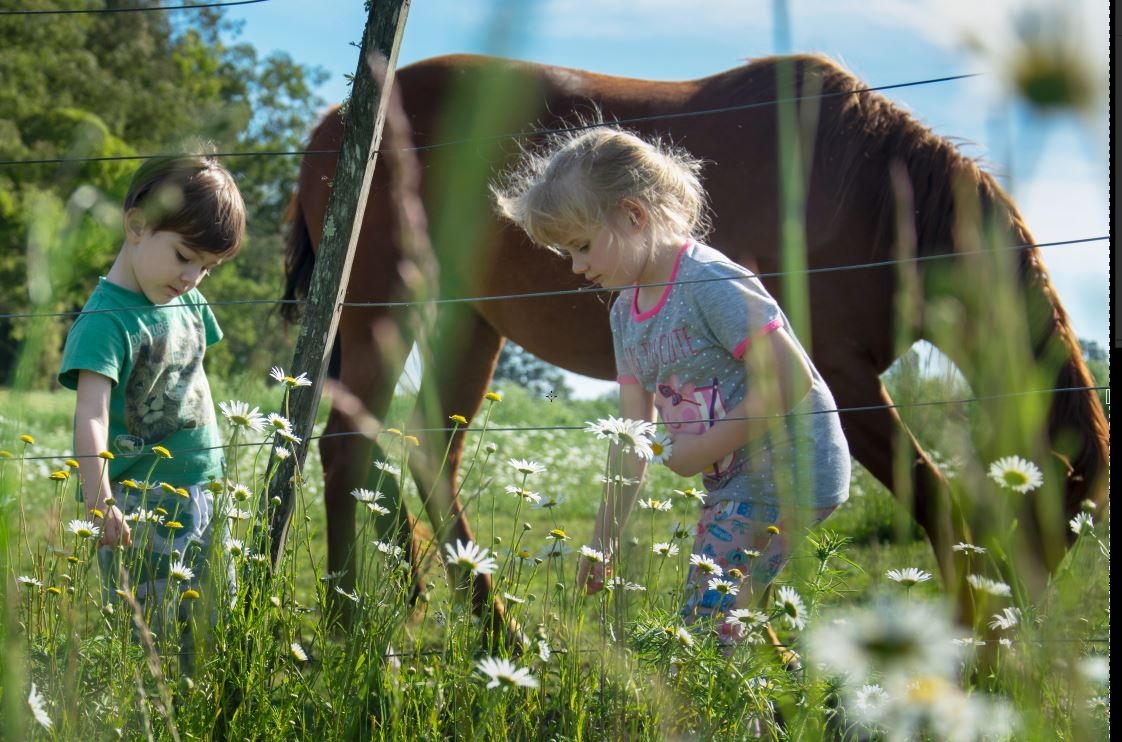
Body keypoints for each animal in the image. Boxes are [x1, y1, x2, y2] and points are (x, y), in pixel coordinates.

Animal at [280, 55, 1104, 628]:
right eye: (1057, 510)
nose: (1023, 621)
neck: (872, 193)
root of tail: (330, 128)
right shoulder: (842, 374)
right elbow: (935, 499)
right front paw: (971, 637)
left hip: (467, 322)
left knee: (424, 455)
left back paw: (472, 622)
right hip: (384, 310)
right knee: (351, 449)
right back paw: (354, 618)